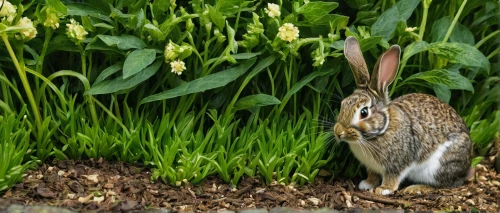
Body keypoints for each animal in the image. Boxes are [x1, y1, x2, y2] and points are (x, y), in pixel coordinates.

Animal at [336, 35, 472, 196]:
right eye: (343, 104)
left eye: (364, 112)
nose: (338, 132)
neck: (382, 130)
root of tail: (467, 166)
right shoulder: (372, 166)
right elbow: (373, 174)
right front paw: (367, 184)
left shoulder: (398, 163)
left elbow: (393, 177)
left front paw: (383, 189)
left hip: (439, 166)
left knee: (446, 184)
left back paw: (416, 188)